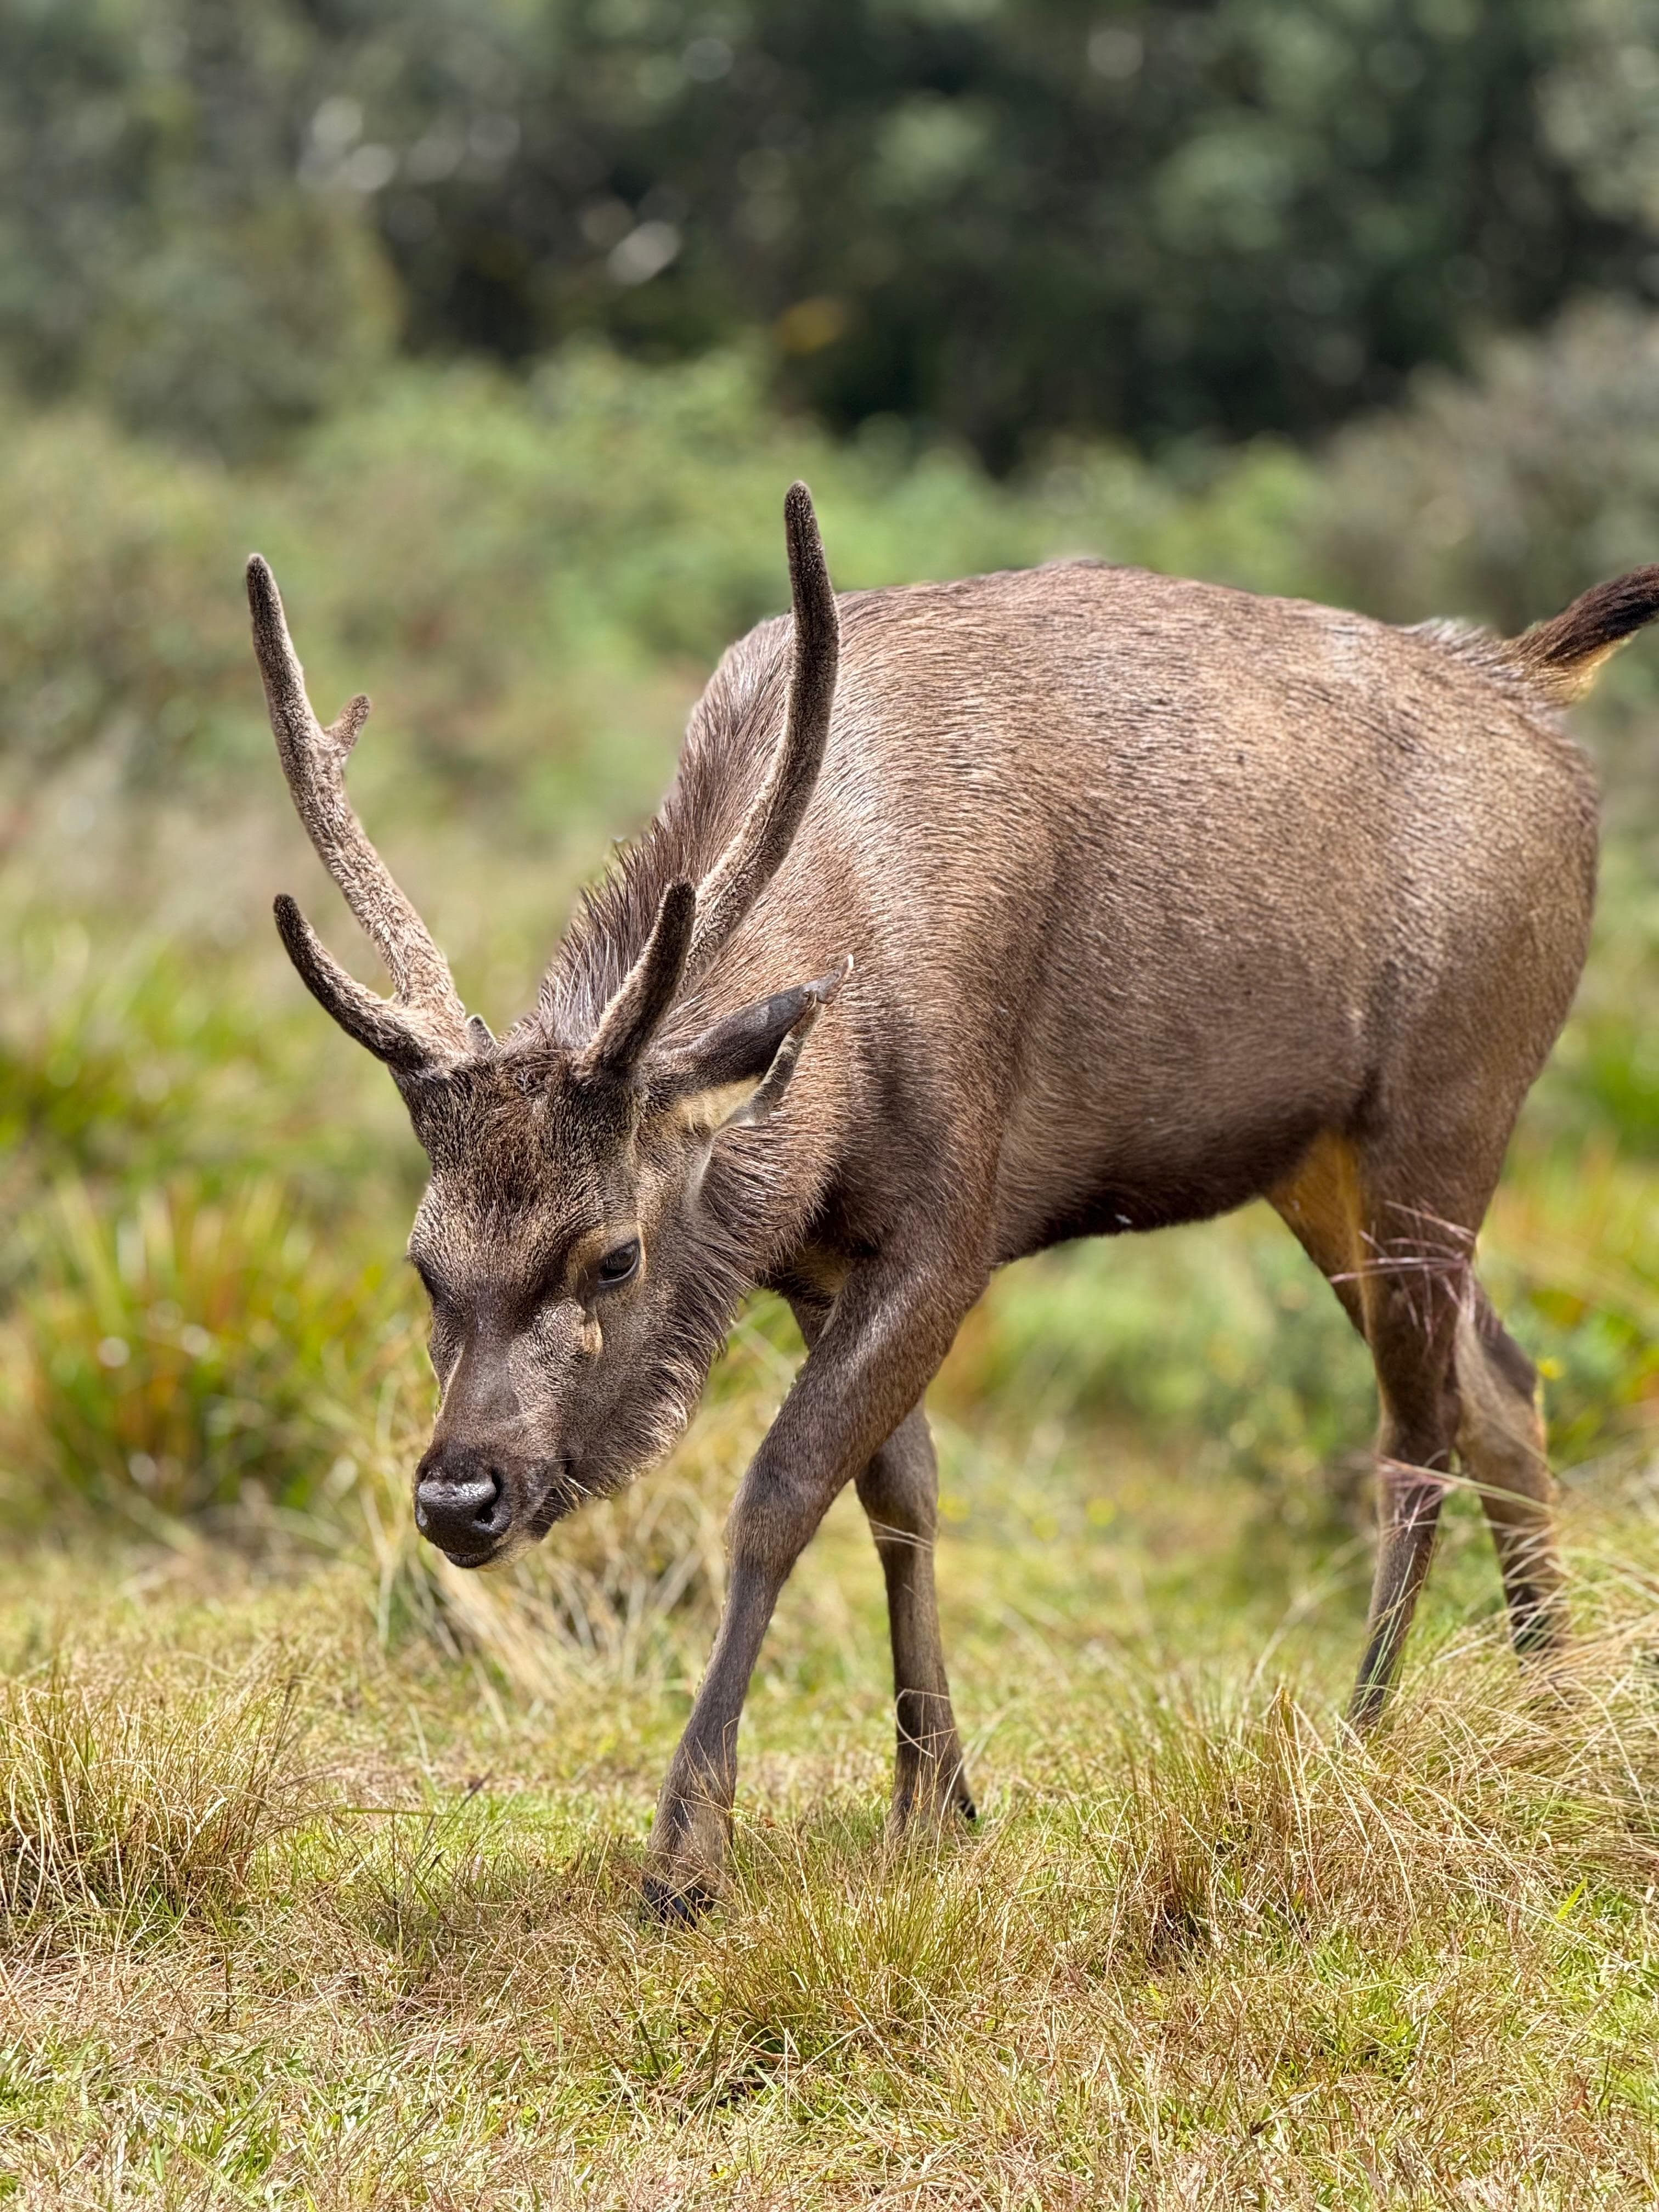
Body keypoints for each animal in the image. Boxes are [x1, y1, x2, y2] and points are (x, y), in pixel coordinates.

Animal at [247, 486, 1657, 1917]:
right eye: (422, 1261)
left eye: (613, 1256)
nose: (457, 1497)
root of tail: (1537, 684)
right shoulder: (820, 1255)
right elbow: (901, 1494)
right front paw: (937, 1798)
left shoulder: (957, 1219)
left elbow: (783, 1490)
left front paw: (689, 1851)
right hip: (1318, 1162)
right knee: (1507, 1382)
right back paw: (1552, 1713)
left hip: (1450, 1101)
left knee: (1419, 1419)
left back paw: (1365, 1729)